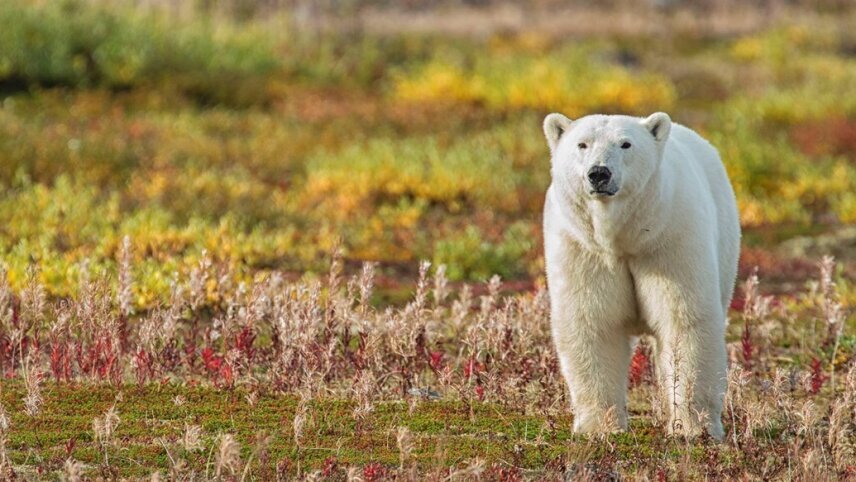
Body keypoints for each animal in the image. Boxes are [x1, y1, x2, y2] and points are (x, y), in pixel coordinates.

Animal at [542, 112, 740, 439]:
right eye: (582, 144)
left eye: (626, 144)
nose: (599, 173)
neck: (623, 238)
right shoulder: (583, 249)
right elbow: (592, 322)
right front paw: (600, 427)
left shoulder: (669, 240)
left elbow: (683, 321)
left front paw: (693, 426)